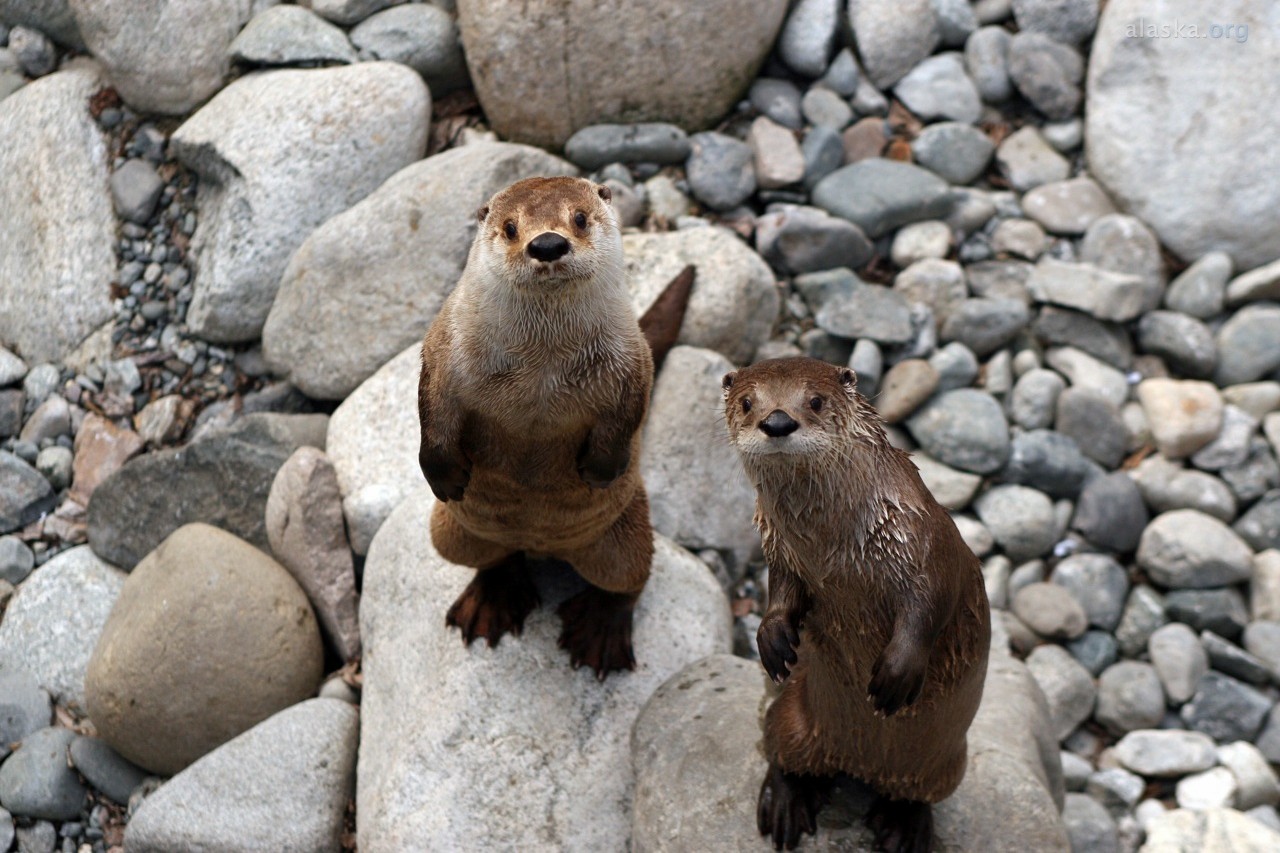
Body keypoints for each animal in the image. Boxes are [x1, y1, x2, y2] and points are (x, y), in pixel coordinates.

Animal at [418, 176, 655, 679]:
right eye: (510, 227)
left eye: (579, 218)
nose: (547, 243)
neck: (540, 365)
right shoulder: (444, 350)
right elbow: (432, 408)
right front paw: (445, 475)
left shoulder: (632, 355)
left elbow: (630, 410)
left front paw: (601, 469)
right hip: (449, 534)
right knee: (495, 558)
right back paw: (491, 601)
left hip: (624, 538)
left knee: (630, 582)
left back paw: (600, 631)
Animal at [722, 357, 991, 852]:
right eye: (748, 402)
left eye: (815, 400)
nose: (777, 422)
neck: (837, 547)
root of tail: (861, 766)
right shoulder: (780, 551)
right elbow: (781, 591)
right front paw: (772, 637)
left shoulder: (923, 539)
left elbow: (928, 603)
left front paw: (897, 671)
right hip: (793, 715)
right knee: (782, 750)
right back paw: (787, 803)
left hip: (943, 767)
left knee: (915, 793)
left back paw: (903, 827)